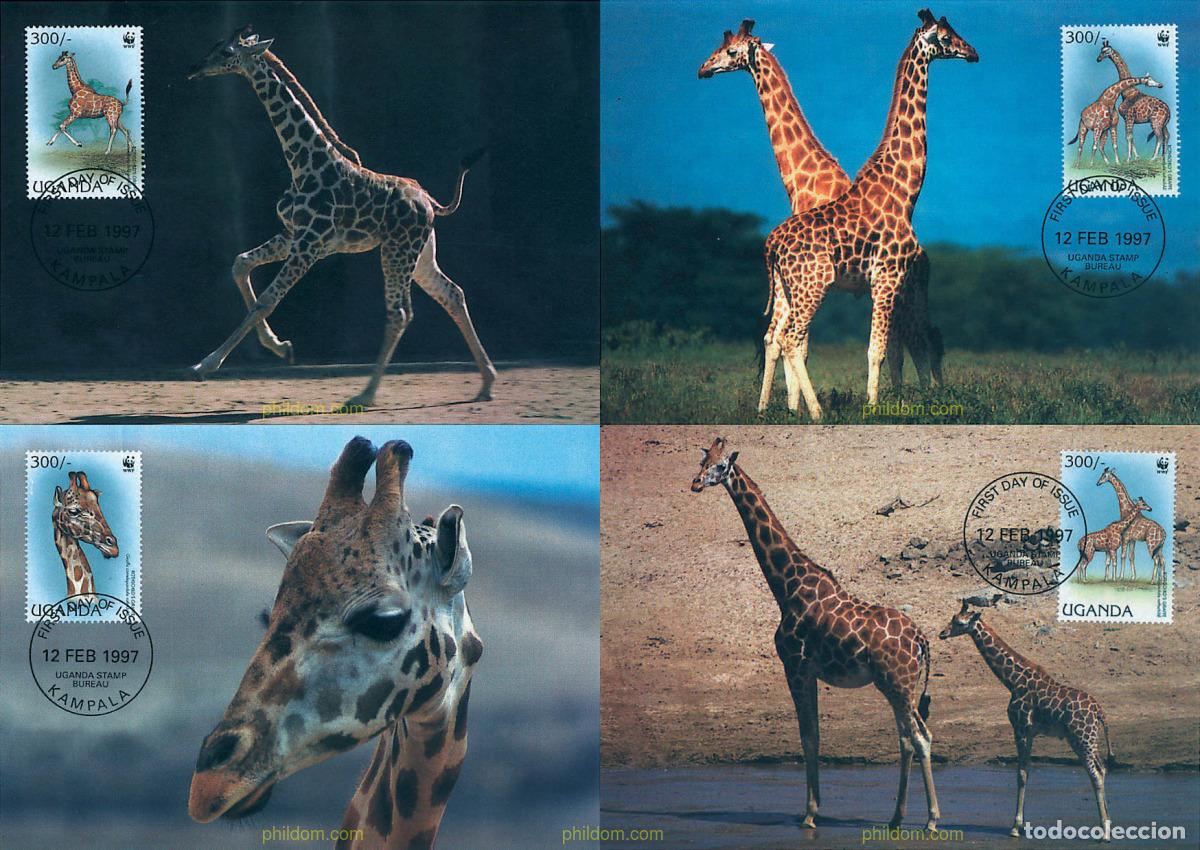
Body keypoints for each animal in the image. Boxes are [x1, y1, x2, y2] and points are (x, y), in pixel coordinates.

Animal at [186, 27, 497, 408]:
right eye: (214, 45)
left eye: (227, 52)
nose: (194, 68)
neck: (304, 163)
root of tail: (431, 203)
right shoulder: (293, 236)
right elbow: (240, 264)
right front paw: (281, 348)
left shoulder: (309, 245)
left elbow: (266, 300)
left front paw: (205, 365)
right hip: (421, 254)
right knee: (452, 293)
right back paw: (485, 383)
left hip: (396, 252)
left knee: (400, 312)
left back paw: (365, 394)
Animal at [691, 437, 939, 830]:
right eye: (702, 461)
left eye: (720, 466)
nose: (696, 483)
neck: (786, 586)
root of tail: (921, 641)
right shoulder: (808, 671)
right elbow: (817, 737)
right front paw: (813, 809)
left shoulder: (795, 666)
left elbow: (807, 737)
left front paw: (809, 815)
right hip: (901, 685)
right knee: (909, 737)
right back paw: (896, 818)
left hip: (896, 683)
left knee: (918, 737)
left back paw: (930, 819)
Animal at [698, 20, 944, 411]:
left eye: (730, 51)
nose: (703, 69)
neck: (803, 179)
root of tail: (925, 255)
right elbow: (780, 341)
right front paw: (787, 407)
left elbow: (798, 345)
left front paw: (796, 406)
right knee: (912, 340)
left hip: (901, 289)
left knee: (917, 339)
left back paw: (920, 397)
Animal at [761, 10, 977, 421]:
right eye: (945, 36)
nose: (973, 52)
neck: (904, 192)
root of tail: (771, 247)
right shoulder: (886, 279)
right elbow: (876, 350)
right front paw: (875, 408)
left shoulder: (888, 283)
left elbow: (886, 348)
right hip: (812, 286)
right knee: (792, 338)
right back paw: (817, 413)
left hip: (788, 288)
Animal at [939, 600, 1114, 838]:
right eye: (952, 617)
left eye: (959, 622)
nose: (942, 633)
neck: (1012, 680)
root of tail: (1099, 711)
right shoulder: (1029, 731)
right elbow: (1027, 773)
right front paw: (1021, 825)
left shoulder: (1020, 727)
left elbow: (1021, 774)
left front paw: (1015, 827)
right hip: (1090, 738)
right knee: (1102, 768)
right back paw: (1108, 825)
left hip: (1081, 738)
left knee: (1095, 773)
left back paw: (1104, 832)